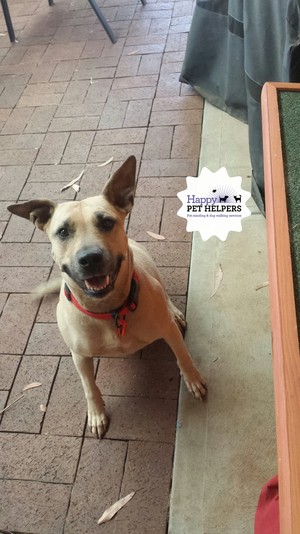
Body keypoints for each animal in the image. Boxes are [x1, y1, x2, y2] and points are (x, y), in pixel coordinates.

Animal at [8, 156, 207, 440]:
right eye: (63, 231)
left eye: (106, 222)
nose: (90, 258)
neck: (109, 310)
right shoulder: (79, 355)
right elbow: (89, 386)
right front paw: (96, 414)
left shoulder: (168, 332)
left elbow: (183, 356)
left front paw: (192, 379)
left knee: (164, 292)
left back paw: (175, 311)